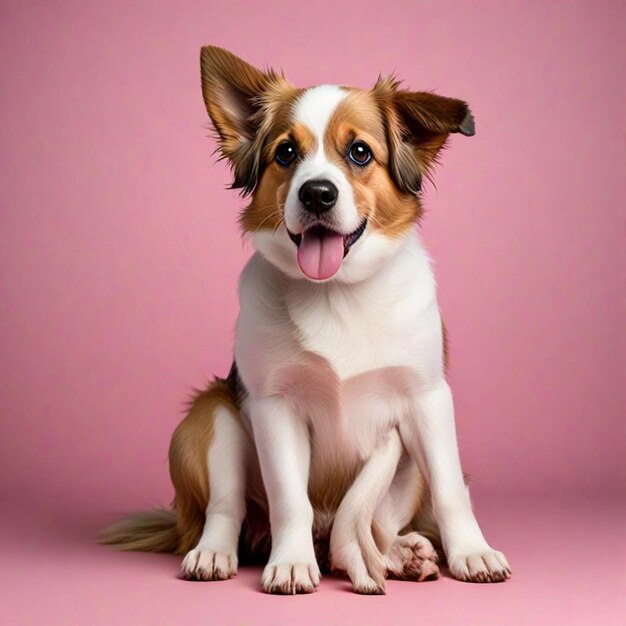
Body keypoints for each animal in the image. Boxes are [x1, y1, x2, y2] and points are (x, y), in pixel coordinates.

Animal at [102, 46, 510, 592]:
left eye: (359, 152)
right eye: (285, 154)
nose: (317, 193)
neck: (336, 294)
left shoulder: (428, 400)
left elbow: (450, 491)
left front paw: (471, 552)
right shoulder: (274, 407)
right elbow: (289, 500)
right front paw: (291, 562)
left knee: (368, 528)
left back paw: (400, 555)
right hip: (211, 416)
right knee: (227, 510)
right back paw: (214, 553)